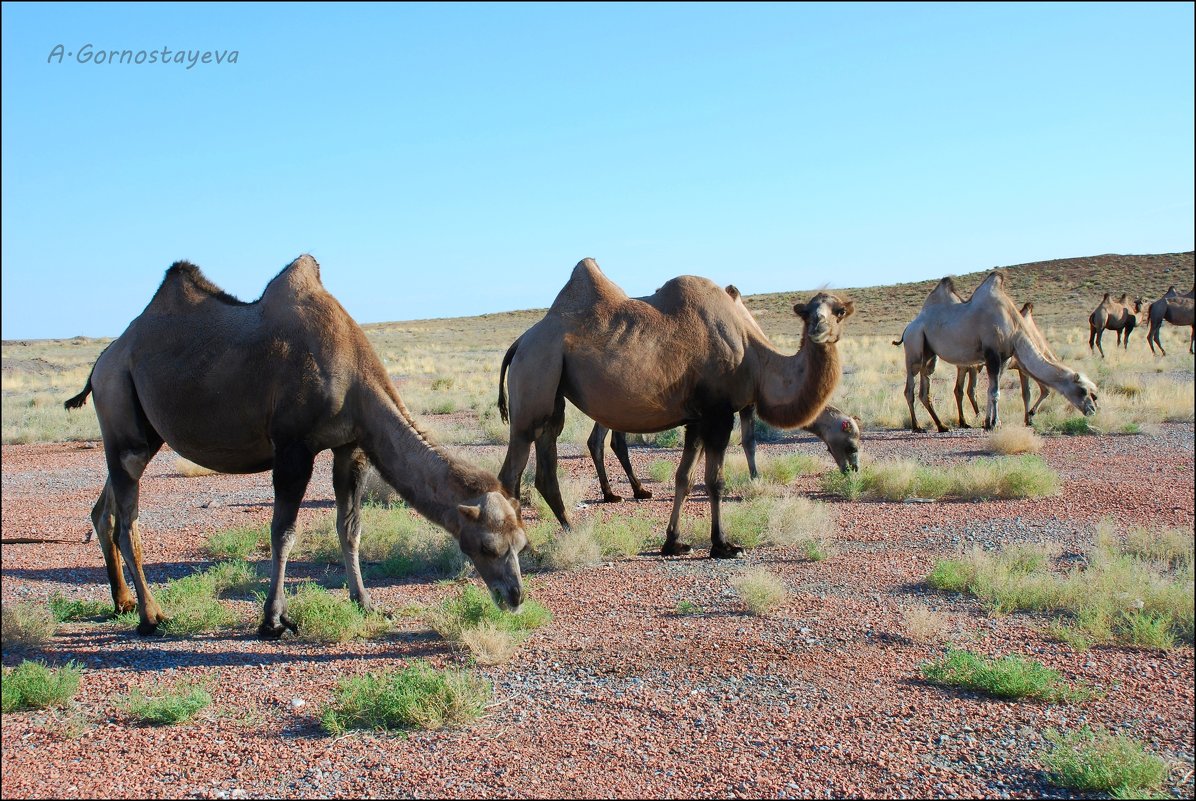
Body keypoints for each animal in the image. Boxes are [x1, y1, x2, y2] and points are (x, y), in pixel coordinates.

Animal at [63, 257, 526, 640]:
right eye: (488, 546)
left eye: (520, 544)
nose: (515, 596)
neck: (355, 376)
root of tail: (103, 360)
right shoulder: (293, 448)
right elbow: (283, 533)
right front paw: (273, 620)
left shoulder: (351, 447)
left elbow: (350, 527)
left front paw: (366, 603)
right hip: (122, 413)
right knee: (128, 521)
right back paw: (151, 616)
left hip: (140, 434)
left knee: (104, 510)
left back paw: (123, 602)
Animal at [492, 259, 851, 559]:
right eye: (808, 313)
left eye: (838, 311)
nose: (819, 329)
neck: (754, 355)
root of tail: (520, 342)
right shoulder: (719, 413)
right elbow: (714, 480)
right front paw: (723, 545)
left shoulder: (697, 419)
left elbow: (684, 478)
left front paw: (673, 542)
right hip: (535, 376)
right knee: (512, 470)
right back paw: (527, 548)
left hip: (552, 393)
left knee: (545, 467)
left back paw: (566, 530)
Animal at [899, 271, 1095, 435]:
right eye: (1083, 390)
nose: (1092, 409)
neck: (1014, 329)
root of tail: (908, 327)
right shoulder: (992, 353)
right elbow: (995, 392)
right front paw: (993, 424)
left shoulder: (1005, 357)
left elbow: (992, 389)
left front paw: (990, 423)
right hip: (914, 345)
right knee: (910, 387)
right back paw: (917, 427)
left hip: (930, 354)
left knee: (926, 387)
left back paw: (942, 426)